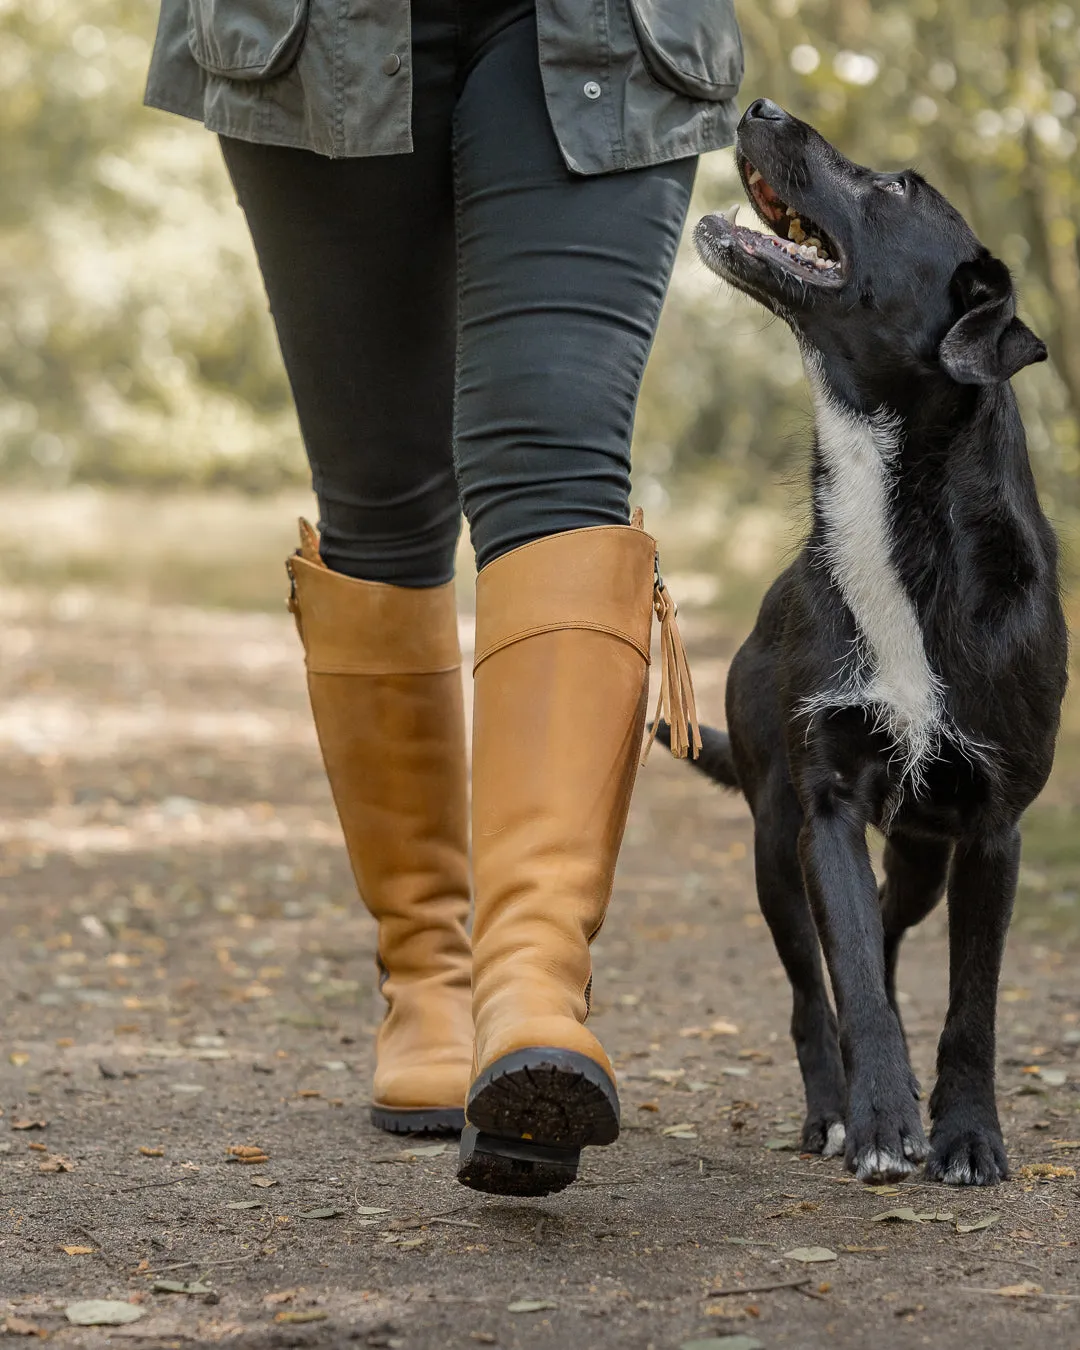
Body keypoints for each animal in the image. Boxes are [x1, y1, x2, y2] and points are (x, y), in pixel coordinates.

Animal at [661, 99, 1069, 1188]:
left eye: (897, 190)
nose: (761, 106)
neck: (891, 518)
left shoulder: (992, 826)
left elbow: (971, 1004)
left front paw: (966, 1134)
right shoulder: (829, 802)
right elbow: (849, 977)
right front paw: (882, 1119)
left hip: (922, 851)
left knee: (888, 930)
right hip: (774, 838)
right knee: (817, 990)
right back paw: (833, 1110)